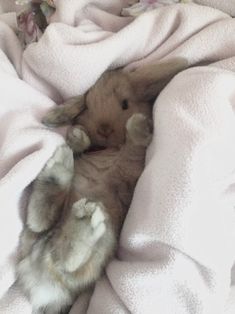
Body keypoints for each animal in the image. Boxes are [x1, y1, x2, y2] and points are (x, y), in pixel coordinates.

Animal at [16, 57, 188, 312]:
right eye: (86, 106)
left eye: (125, 104)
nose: (104, 129)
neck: (110, 149)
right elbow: (90, 146)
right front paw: (77, 136)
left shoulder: (131, 167)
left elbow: (134, 146)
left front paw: (138, 125)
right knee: (46, 232)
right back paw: (73, 195)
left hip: (105, 240)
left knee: (58, 250)